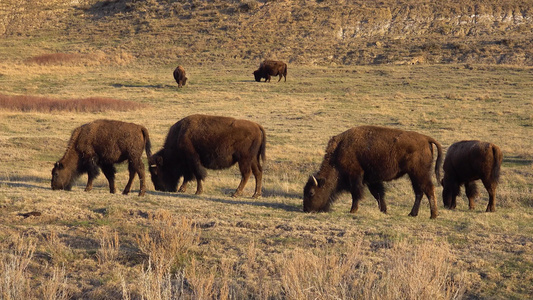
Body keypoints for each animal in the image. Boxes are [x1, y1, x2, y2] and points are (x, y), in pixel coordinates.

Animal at [302, 125, 442, 219]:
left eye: (311, 192)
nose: (306, 210)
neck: (339, 151)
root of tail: (426, 139)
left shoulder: (356, 176)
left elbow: (356, 193)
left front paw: (353, 210)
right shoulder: (371, 179)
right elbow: (378, 193)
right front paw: (384, 210)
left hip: (419, 173)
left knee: (428, 189)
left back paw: (433, 215)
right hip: (414, 175)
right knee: (419, 192)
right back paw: (412, 214)